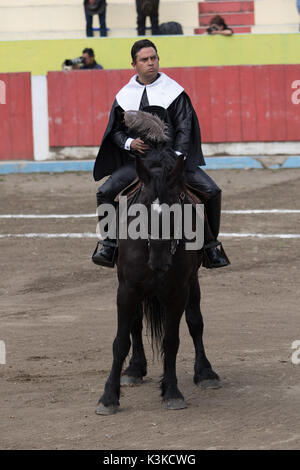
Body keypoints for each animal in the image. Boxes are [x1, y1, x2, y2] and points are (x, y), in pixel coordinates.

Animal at [96, 111, 220, 414]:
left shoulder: (178, 290)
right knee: (136, 325)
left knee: (195, 322)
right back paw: (134, 369)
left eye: (177, 206)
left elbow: (172, 340)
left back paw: (205, 372)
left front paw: (172, 391)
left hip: (193, 284)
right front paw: (109, 396)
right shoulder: (127, 289)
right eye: (141, 208)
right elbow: (121, 340)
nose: (160, 261)